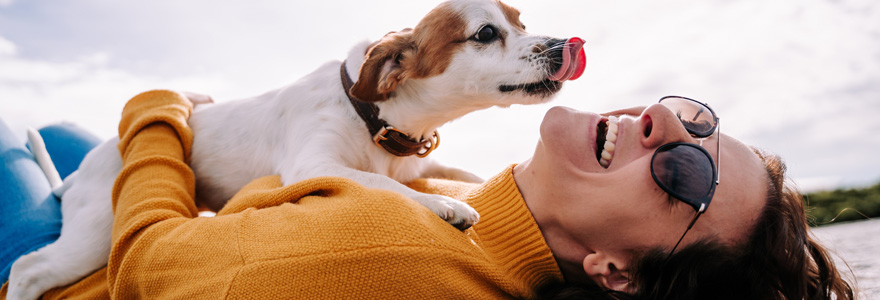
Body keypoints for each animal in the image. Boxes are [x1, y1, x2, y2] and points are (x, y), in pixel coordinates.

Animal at [6, 0, 588, 298]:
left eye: (522, 23)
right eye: (486, 33)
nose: (565, 45)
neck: (375, 119)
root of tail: (80, 171)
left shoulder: (416, 159)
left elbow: (452, 170)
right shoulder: (315, 162)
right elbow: (377, 182)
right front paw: (445, 204)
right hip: (94, 235)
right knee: (29, 268)